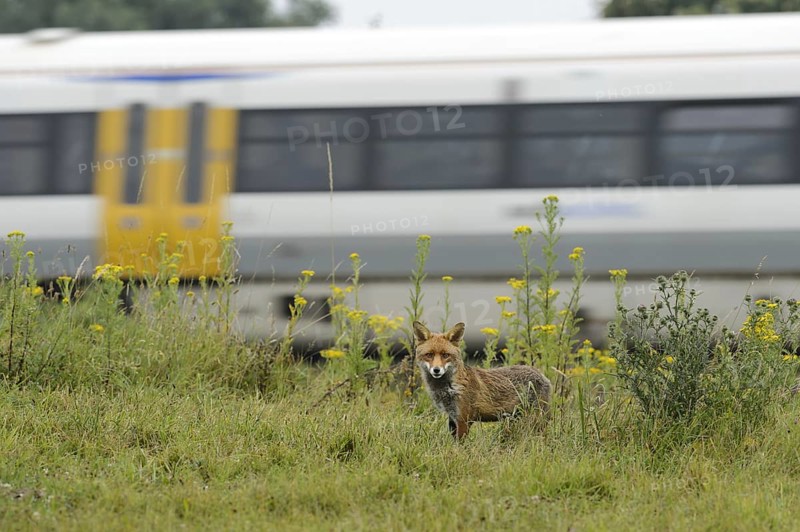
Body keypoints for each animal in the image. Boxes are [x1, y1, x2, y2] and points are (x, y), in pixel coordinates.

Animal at [414, 321, 551, 440]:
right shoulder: (452, 417)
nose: (436, 370)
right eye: (429, 355)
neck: (449, 388)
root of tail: (541, 374)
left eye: (445, 355)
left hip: (536, 418)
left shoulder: (464, 418)